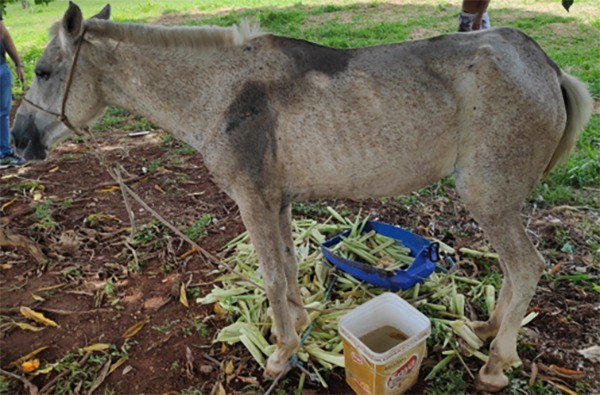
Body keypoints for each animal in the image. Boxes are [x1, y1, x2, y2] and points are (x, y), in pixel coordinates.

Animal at [11, 3, 592, 392]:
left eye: (42, 71)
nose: (18, 139)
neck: (222, 93)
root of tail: (547, 67)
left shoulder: (251, 200)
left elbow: (269, 276)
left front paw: (280, 353)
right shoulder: (279, 200)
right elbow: (288, 267)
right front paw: (300, 323)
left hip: (487, 198)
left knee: (526, 266)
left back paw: (496, 362)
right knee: (514, 272)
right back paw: (487, 329)